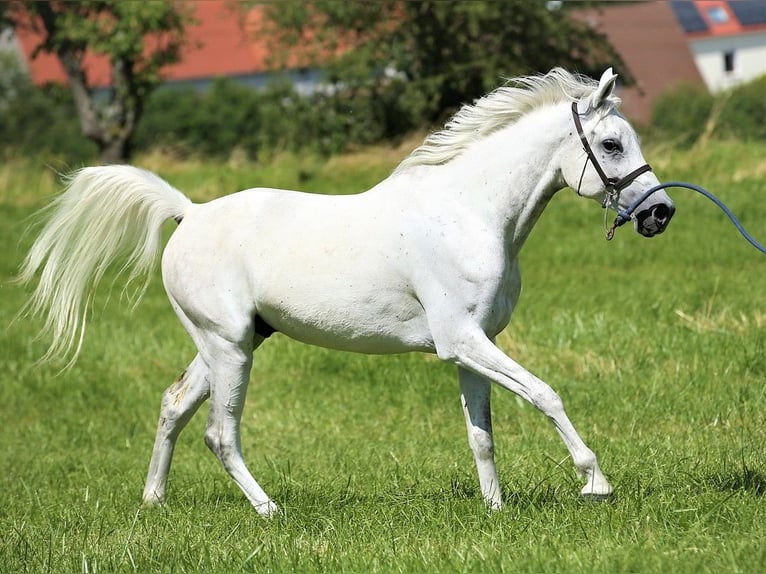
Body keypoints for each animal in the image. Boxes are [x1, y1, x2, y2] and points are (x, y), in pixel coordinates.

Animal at [18, 68, 676, 516]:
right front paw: (595, 482)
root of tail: (191, 213)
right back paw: (269, 511)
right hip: (229, 348)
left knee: (174, 404)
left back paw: (154, 500)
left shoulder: (470, 347)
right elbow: (545, 394)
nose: (660, 213)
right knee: (218, 433)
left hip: (231, 343)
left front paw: (494, 509)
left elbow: (481, 434)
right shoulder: (463, 341)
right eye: (612, 144)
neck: (470, 213)